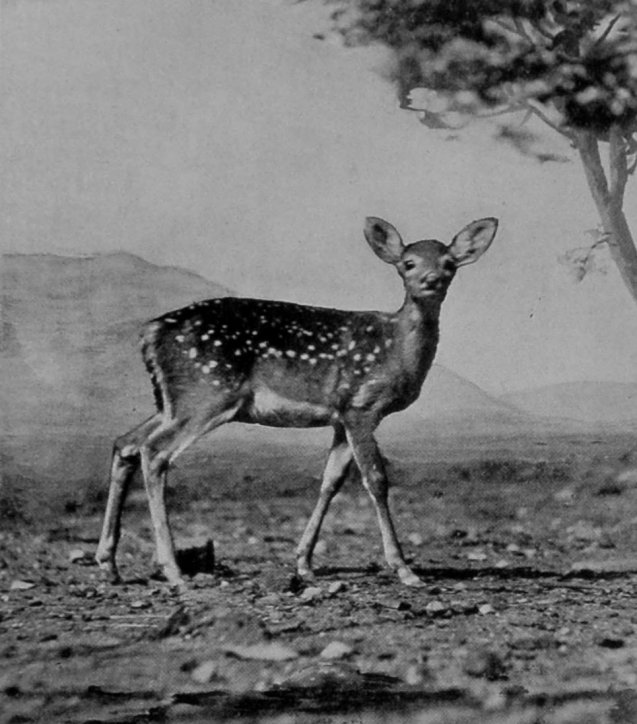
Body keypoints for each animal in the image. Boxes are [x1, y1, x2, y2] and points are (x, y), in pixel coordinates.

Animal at [95, 216, 497, 588]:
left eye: (449, 263)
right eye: (408, 263)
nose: (431, 280)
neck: (396, 348)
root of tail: (150, 333)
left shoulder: (341, 416)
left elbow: (330, 481)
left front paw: (304, 563)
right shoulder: (361, 404)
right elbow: (376, 479)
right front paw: (404, 568)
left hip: (172, 401)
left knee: (126, 443)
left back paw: (109, 565)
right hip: (207, 392)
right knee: (154, 451)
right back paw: (173, 570)